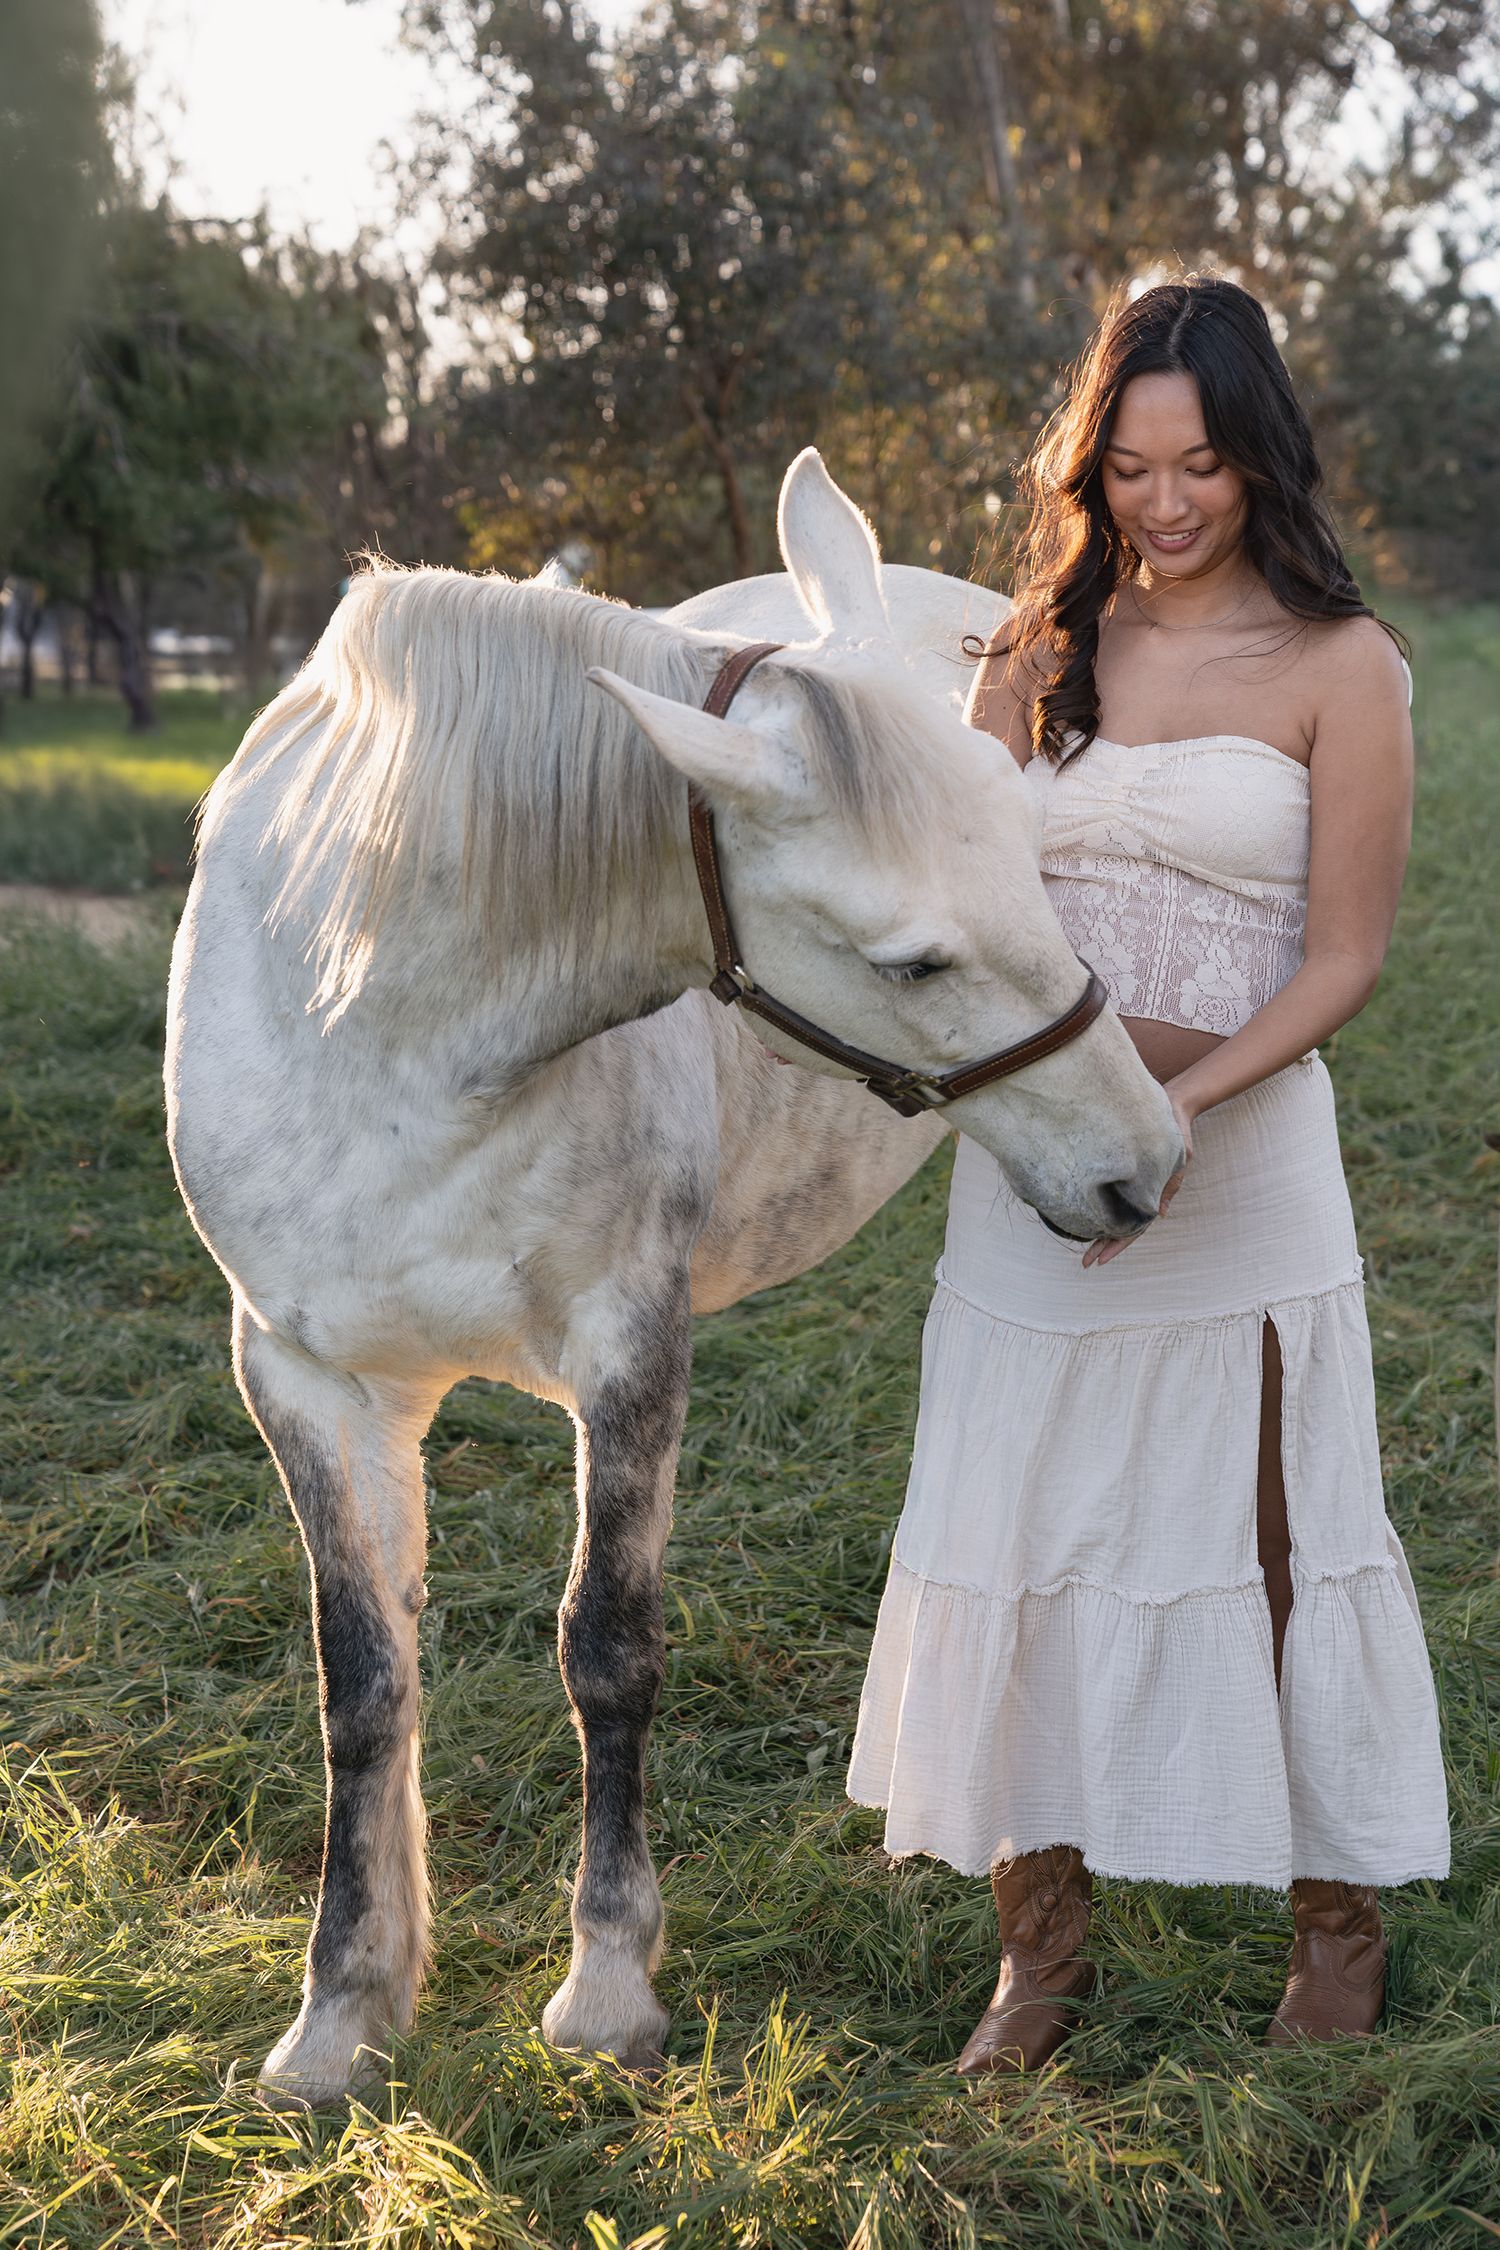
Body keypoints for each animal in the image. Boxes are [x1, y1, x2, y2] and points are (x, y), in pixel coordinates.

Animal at [163, 449, 1181, 2105]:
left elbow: (609, 1647)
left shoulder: (629, 1344)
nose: (1139, 1161)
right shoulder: (302, 1375)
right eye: (910, 963)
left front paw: (607, 1988)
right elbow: (362, 1680)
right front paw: (343, 2009)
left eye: (1039, 860)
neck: (374, 1026)